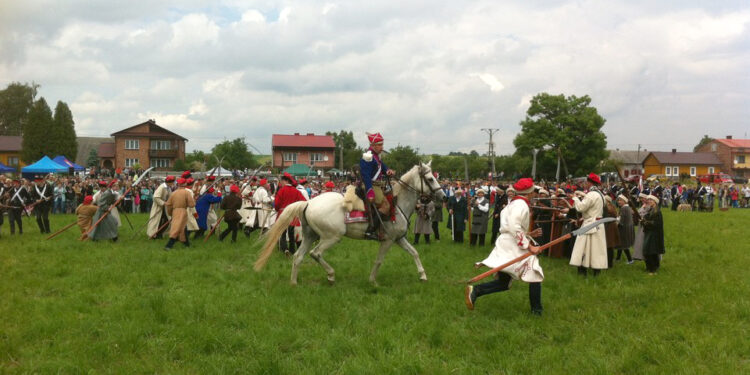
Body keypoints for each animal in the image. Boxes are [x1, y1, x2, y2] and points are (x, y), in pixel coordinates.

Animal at [256, 163, 450, 286]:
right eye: (430, 179)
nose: (443, 197)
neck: (397, 203)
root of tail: (308, 203)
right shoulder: (388, 241)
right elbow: (379, 260)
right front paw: (372, 281)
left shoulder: (399, 239)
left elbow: (414, 253)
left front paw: (423, 275)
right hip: (331, 237)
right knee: (315, 254)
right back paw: (331, 276)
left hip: (310, 236)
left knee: (298, 256)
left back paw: (294, 282)